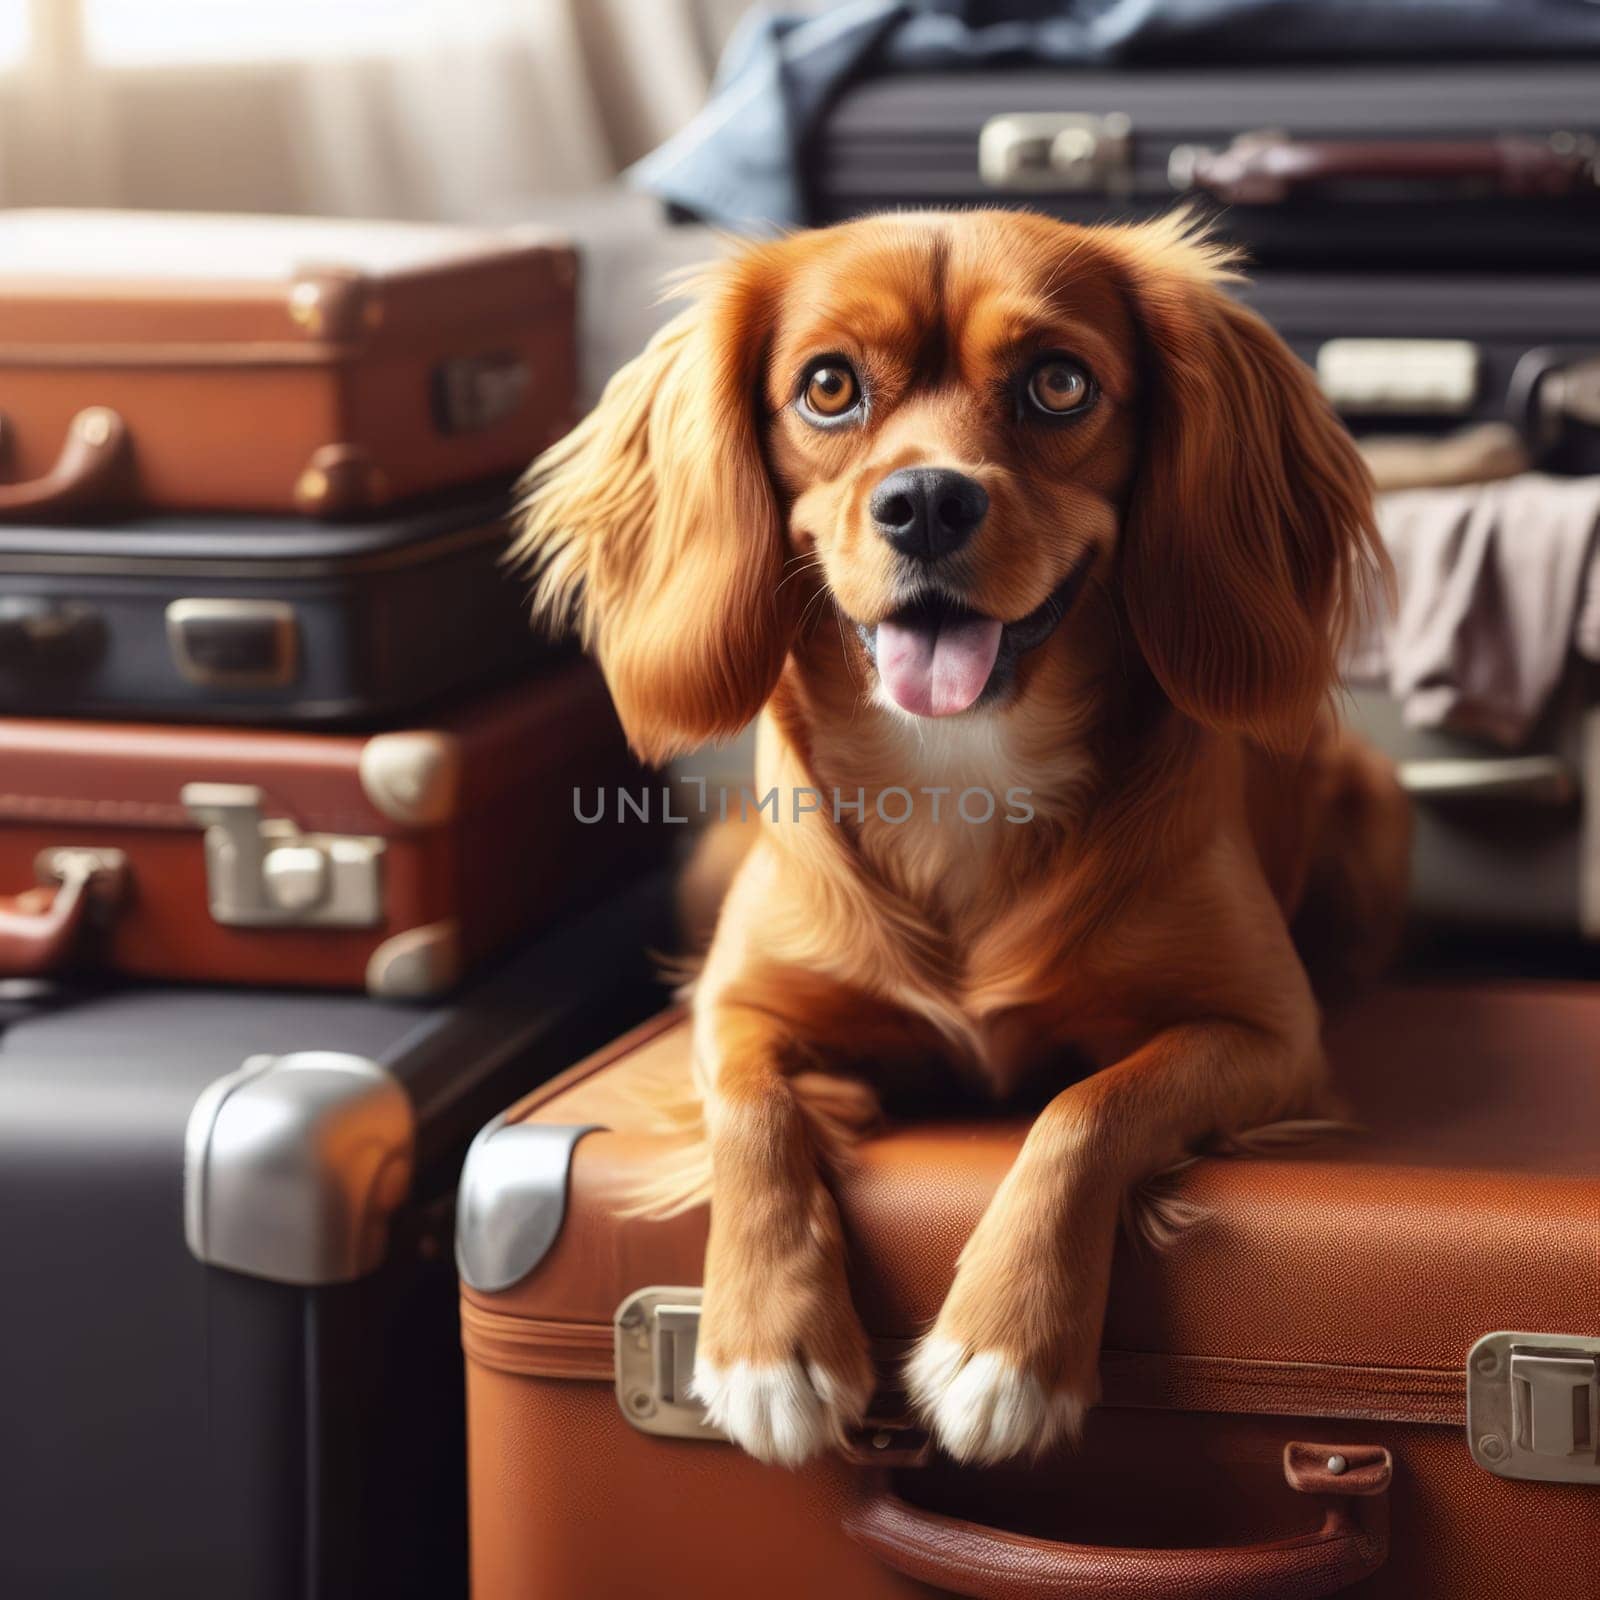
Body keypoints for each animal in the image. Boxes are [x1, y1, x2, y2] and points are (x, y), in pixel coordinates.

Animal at [512, 209, 1401, 1465]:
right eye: (828, 385)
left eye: (1059, 382)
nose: (927, 501)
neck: (962, 772)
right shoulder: (734, 1005)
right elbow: (753, 1113)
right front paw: (766, 1342)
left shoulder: (1267, 1033)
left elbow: (1088, 1107)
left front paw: (1003, 1347)